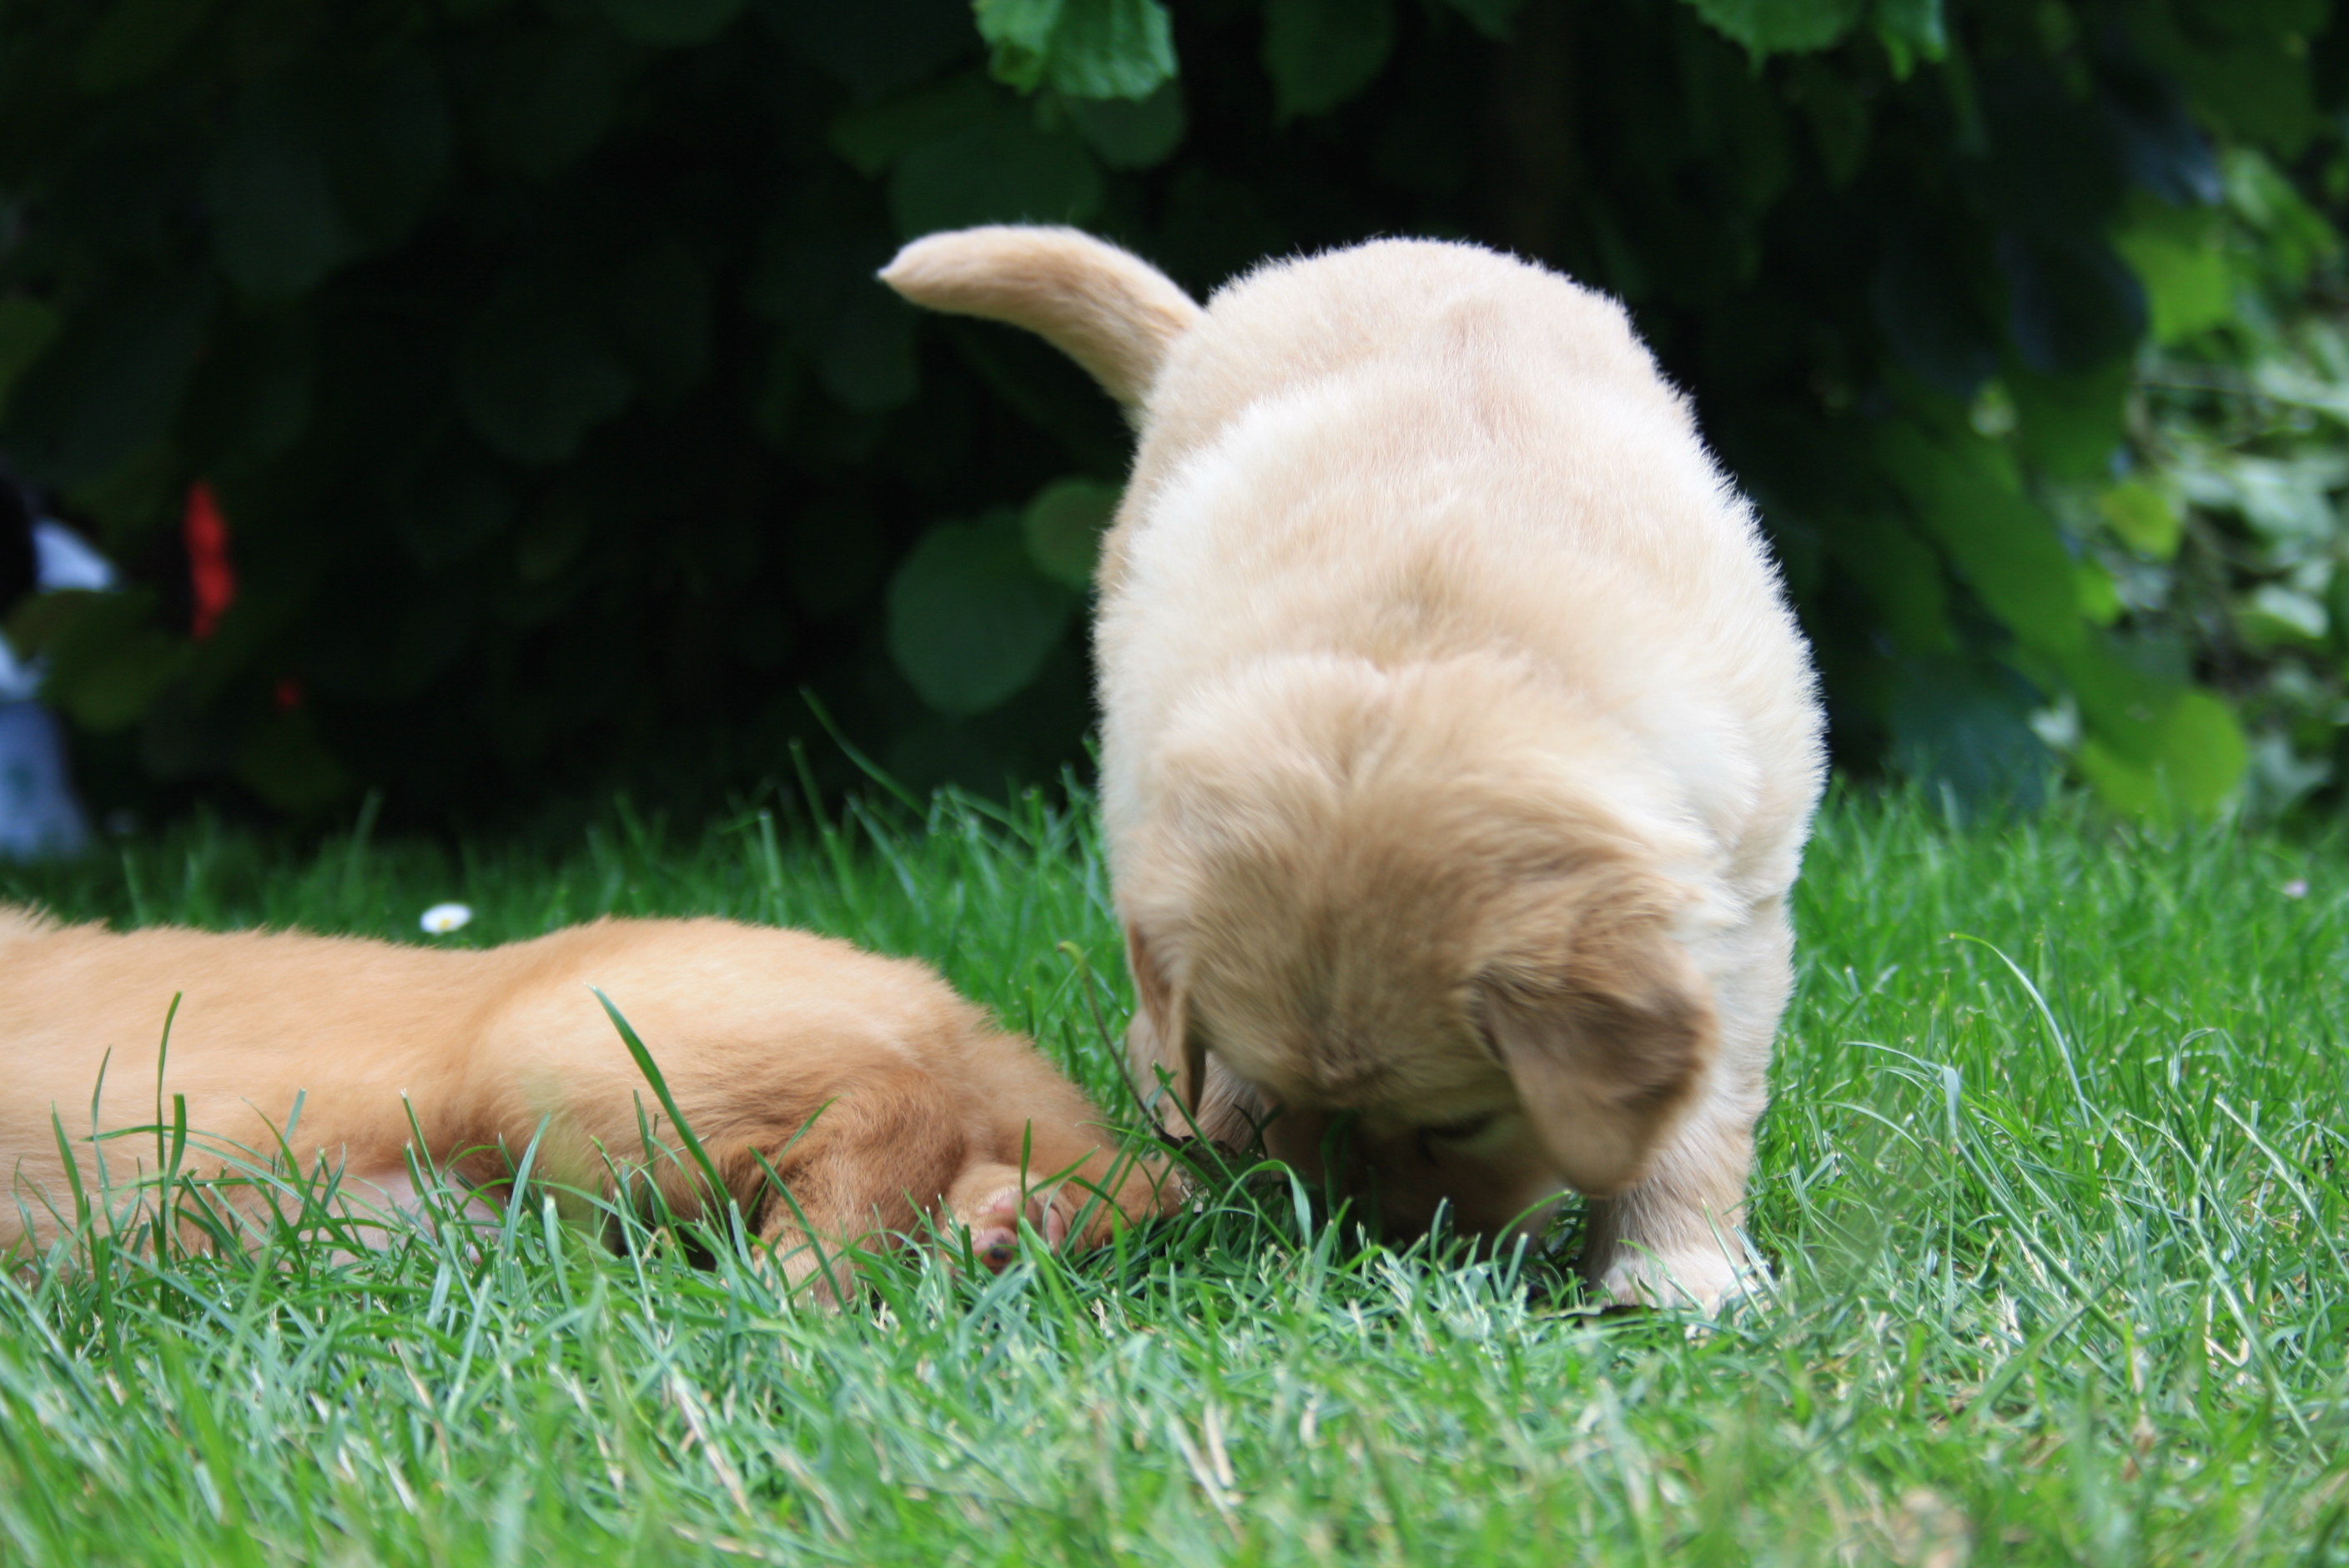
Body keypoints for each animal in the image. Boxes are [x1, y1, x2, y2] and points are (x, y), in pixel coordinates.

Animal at [883, 228, 1825, 1308]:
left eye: (1460, 1119)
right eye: (1294, 1097)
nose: (1383, 1248)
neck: (1430, 641)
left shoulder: (1737, 901)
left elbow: (1695, 1113)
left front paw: (1672, 1267)